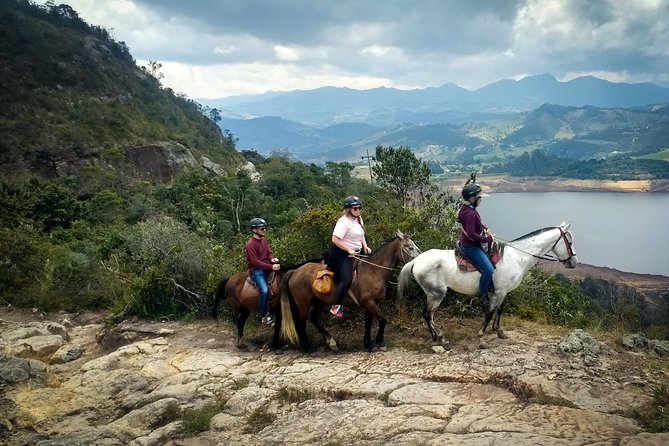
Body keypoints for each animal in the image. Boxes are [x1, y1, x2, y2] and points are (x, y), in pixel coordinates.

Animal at [276, 232, 418, 354]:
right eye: (410, 247)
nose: (417, 261)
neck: (374, 271)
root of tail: (295, 271)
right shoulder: (369, 302)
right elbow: (383, 320)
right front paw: (379, 341)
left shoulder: (371, 303)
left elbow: (369, 323)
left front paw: (368, 343)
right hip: (303, 304)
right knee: (300, 324)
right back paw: (308, 348)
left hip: (318, 302)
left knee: (314, 320)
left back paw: (331, 343)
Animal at [396, 221, 580, 346]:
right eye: (569, 242)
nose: (574, 262)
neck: (516, 257)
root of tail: (416, 260)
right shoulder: (498, 292)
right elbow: (491, 312)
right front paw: (481, 335)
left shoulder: (502, 291)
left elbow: (500, 310)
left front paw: (498, 331)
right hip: (437, 293)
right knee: (428, 314)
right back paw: (440, 338)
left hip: (432, 294)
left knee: (428, 315)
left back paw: (436, 336)